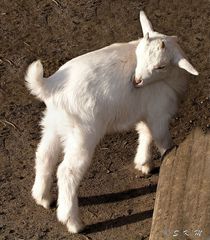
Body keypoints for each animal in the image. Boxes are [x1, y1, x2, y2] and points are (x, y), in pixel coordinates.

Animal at [25, 10, 198, 232]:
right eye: (139, 55)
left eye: (160, 66)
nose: (136, 81)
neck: (170, 78)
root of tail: (49, 86)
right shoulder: (159, 111)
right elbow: (162, 140)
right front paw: (166, 162)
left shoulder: (144, 110)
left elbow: (145, 133)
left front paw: (143, 163)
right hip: (82, 132)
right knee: (67, 172)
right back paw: (73, 222)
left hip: (54, 123)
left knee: (44, 154)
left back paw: (42, 198)